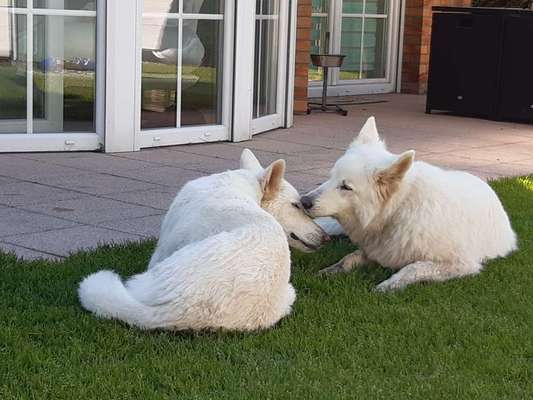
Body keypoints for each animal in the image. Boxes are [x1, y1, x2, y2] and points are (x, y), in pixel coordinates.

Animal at [79, 150, 328, 332]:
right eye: (296, 205)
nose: (326, 237)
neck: (243, 188)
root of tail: (173, 313)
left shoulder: (164, 247)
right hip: (289, 294)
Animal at [302, 116, 516, 290]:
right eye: (331, 177)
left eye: (346, 187)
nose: (304, 201)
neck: (398, 209)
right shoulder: (375, 249)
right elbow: (349, 258)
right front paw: (331, 270)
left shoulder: (461, 264)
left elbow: (414, 267)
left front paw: (389, 285)